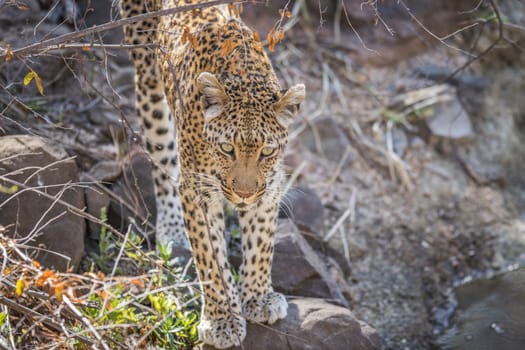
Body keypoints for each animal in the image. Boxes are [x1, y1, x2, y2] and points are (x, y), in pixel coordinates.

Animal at [118, 0, 302, 348]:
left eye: (266, 152)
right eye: (228, 149)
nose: (243, 194)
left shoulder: (268, 188)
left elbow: (261, 243)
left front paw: (258, 298)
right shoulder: (198, 192)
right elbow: (210, 257)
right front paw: (222, 320)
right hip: (148, 76)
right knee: (162, 158)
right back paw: (171, 231)